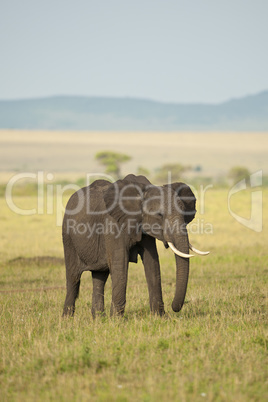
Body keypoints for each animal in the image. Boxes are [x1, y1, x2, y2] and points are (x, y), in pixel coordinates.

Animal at [61, 174, 208, 318]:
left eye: (184, 213)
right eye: (159, 215)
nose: (174, 308)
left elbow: (152, 262)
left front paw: (159, 317)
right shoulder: (113, 224)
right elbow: (120, 263)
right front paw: (116, 320)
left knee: (99, 277)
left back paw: (98, 319)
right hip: (68, 237)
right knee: (73, 277)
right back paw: (67, 319)